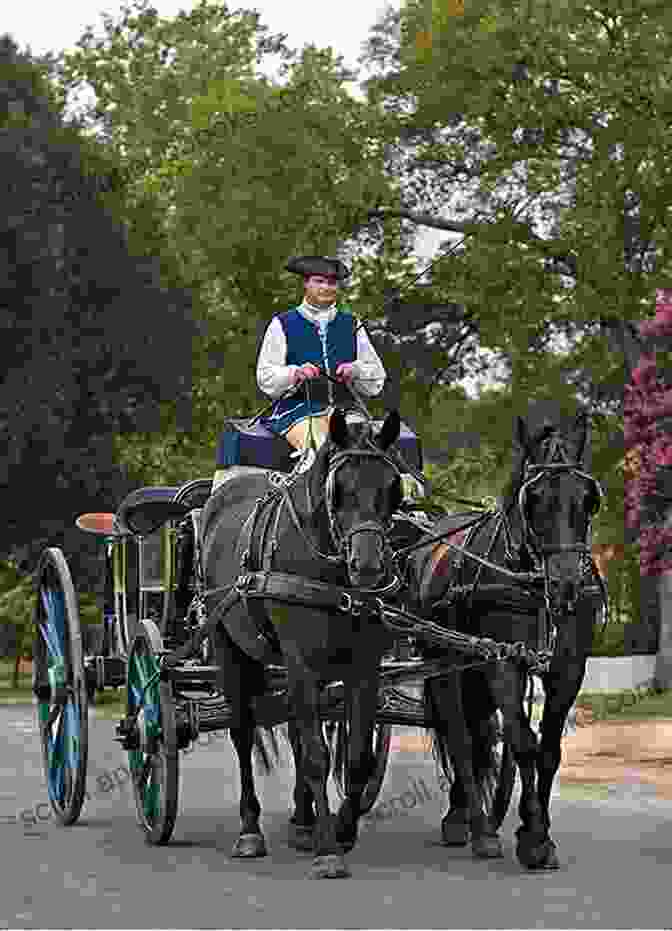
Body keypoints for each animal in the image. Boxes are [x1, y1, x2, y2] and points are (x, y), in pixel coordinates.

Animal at [198, 410, 400, 880]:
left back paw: (302, 822)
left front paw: (342, 829)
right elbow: (316, 757)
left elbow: (357, 755)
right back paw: (250, 830)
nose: (368, 565)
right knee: (242, 733)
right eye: (339, 489)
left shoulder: (364, 665)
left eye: (391, 487)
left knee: (294, 729)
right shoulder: (302, 662)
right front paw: (328, 849)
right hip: (229, 649)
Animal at [410, 404, 604, 872]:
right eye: (533, 500)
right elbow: (522, 741)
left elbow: (547, 747)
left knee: (479, 732)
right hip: (446, 661)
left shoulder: (568, 665)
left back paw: (465, 811)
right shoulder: (502, 660)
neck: (531, 580)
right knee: (460, 735)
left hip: (471, 668)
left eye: (588, 498)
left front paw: (538, 831)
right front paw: (532, 836)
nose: (567, 587)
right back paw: (477, 827)